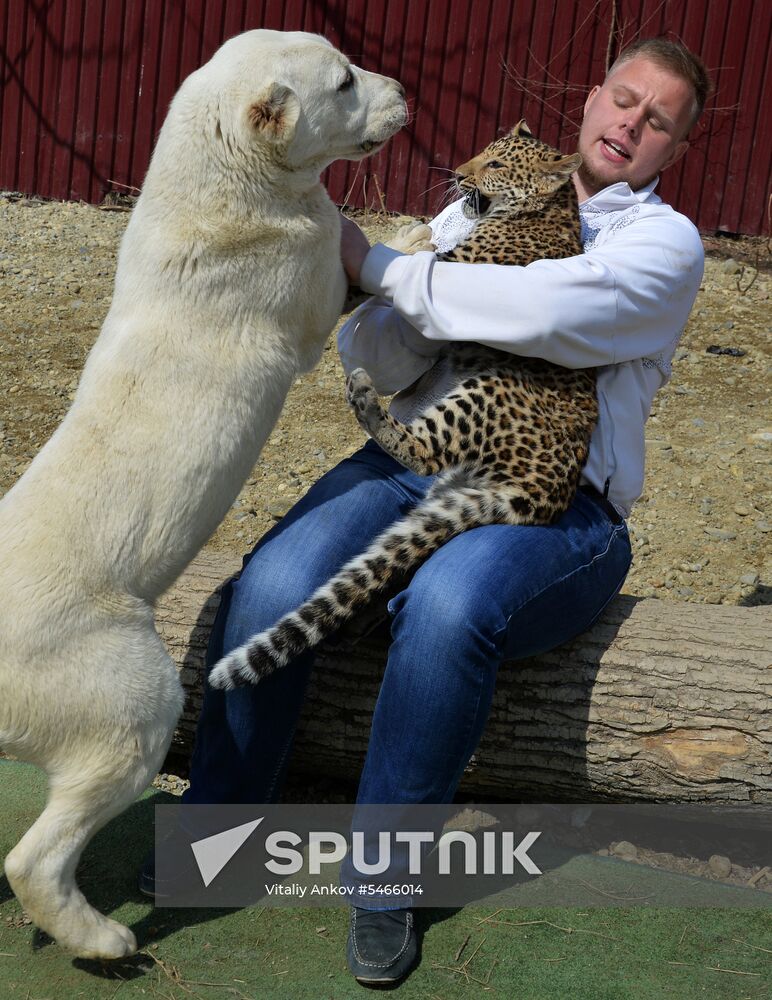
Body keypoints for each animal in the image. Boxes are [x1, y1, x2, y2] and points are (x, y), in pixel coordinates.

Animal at [0, 27, 408, 956]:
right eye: (344, 82)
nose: (405, 95)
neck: (221, 176)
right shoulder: (294, 270)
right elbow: (335, 274)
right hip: (116, 675)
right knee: (67, 814)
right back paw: (103, 941)